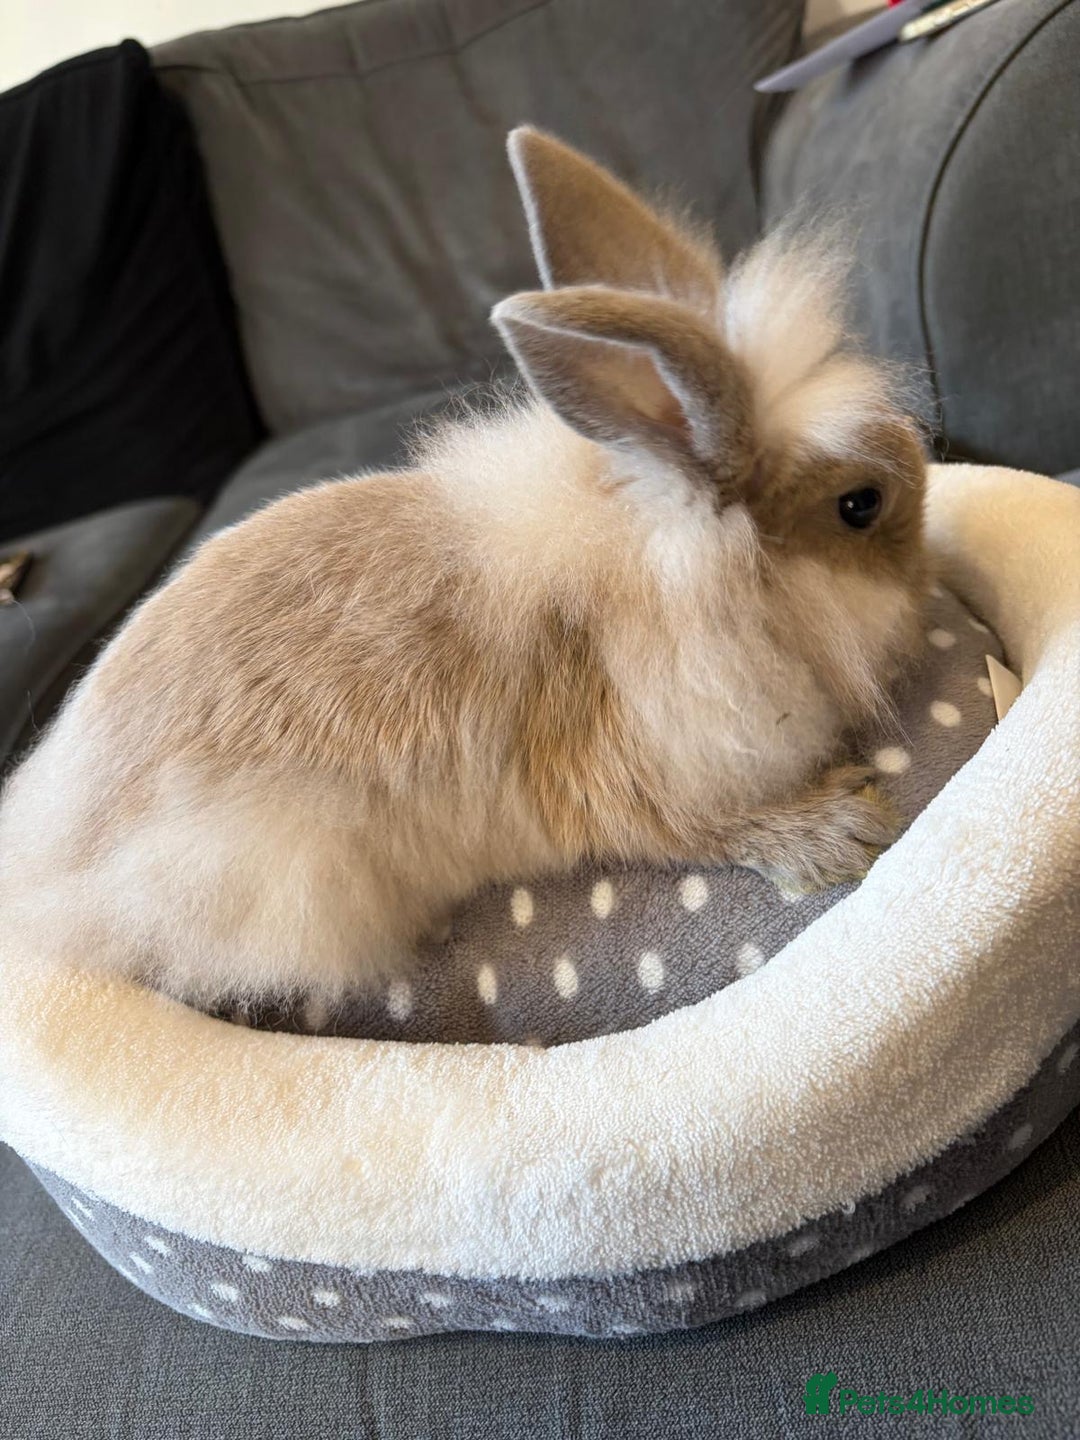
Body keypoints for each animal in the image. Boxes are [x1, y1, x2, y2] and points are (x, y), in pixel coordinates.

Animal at [0, 127, 928, 1010]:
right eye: (861, 505)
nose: (925, 575)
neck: (677, 568)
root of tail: (47, 865)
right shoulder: (617, 775)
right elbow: (699, 832)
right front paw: (844, 830)